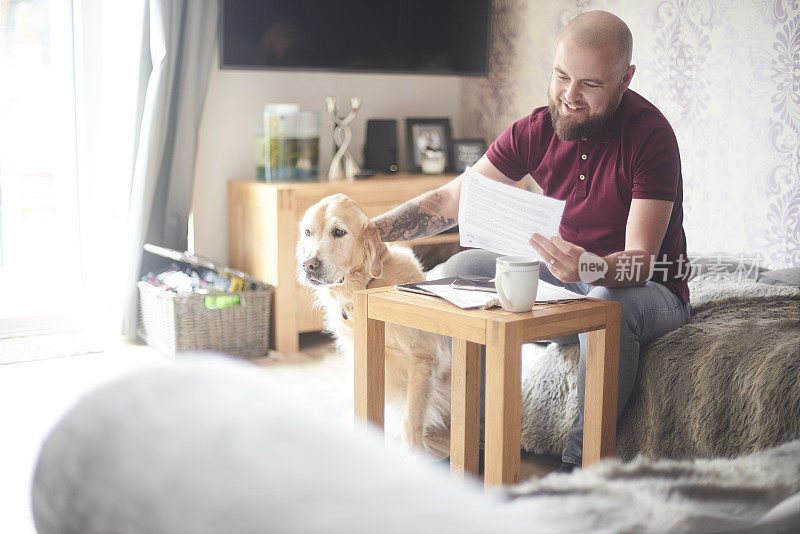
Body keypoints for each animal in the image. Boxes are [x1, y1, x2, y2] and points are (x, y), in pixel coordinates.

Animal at [298, 195, 454, 454]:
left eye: (338, 232)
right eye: (308, 232)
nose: (308, 264)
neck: (366, 285)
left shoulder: (424, 358)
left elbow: (412, 417)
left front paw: (414, 454)